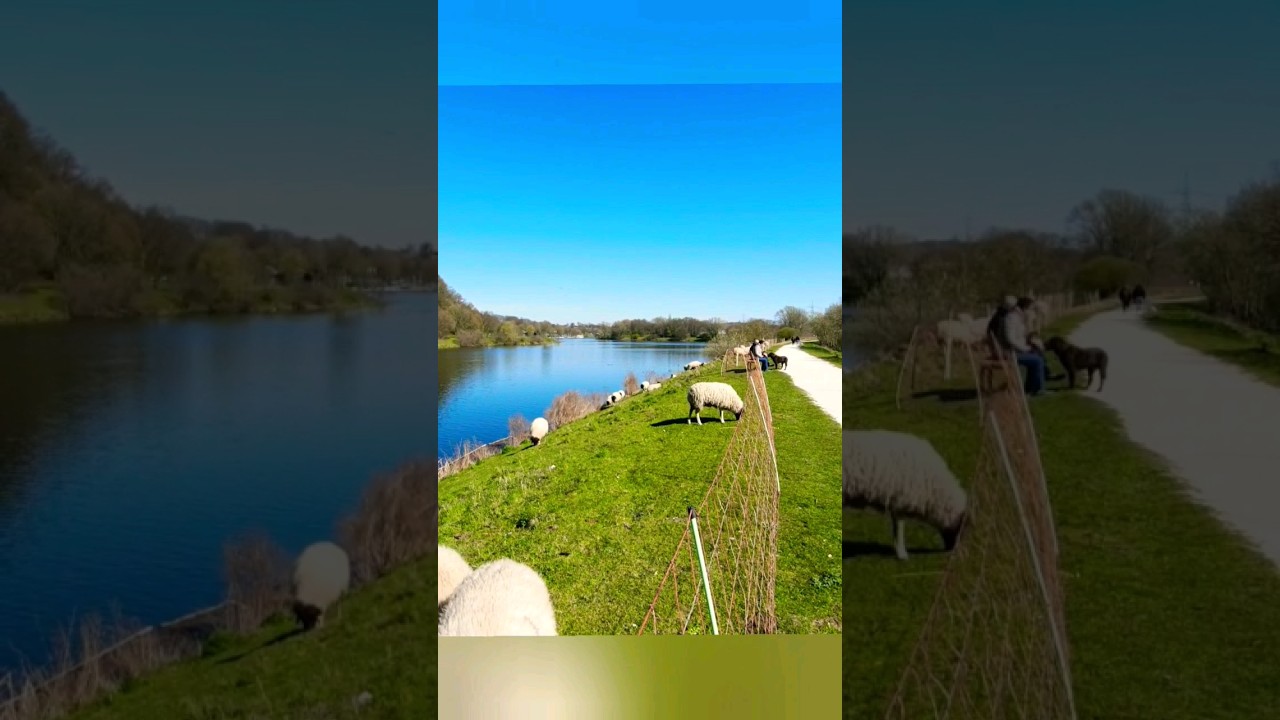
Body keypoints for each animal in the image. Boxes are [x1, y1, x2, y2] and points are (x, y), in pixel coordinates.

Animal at [844, 427, 962, 558]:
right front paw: (902, 554)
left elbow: (897, 527)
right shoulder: (901, 498)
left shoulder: (897, 498)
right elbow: (900, 527)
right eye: (960, 529)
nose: (950, 550)